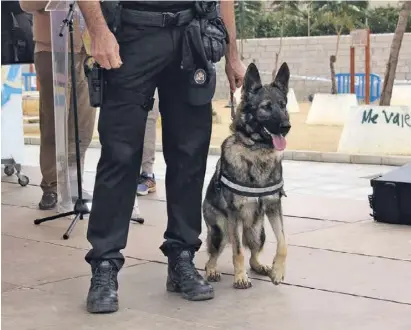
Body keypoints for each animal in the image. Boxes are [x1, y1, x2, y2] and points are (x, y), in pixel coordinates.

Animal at [204, 62, 292, 288]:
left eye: (283, 105)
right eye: (266, 107)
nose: (286, 127)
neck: (257, 150)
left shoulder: (274, 207)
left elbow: (283, 243)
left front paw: (278, 271)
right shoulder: (234, 215)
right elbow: (238, 252)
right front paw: (240, 277)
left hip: (258, 232)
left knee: (253, 254)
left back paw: (262, 266)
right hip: (222, 231)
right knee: (212, 257)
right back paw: (212, 271)